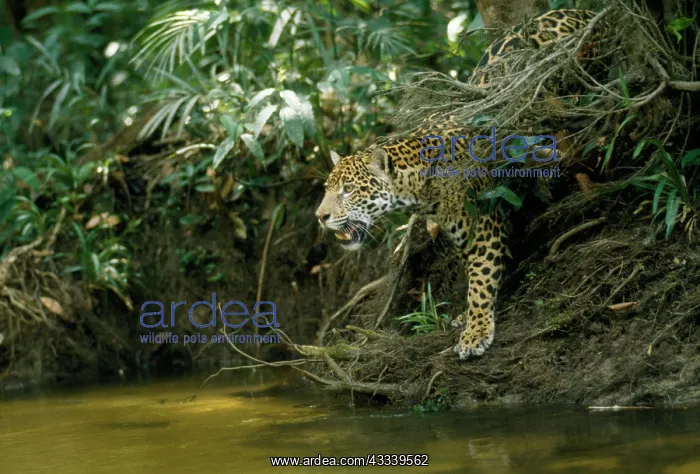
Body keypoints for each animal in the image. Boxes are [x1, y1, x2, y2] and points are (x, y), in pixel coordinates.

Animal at [315, 9, 600, 360]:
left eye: (349, 190)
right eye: (328, 190)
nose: (320, 216)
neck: (419, 185)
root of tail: (577, 11)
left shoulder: (483, 229)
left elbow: (480, 281)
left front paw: (476, 332)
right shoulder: (463, 237)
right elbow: (476, 275)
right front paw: (469, 317)